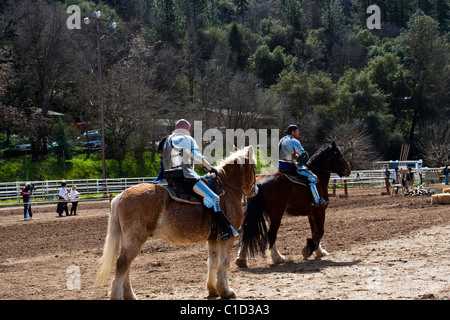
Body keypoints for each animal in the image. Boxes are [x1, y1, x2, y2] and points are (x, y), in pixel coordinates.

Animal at [95, 146, 256, 300]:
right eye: (254, 166)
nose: (254, 189)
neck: (226, 188)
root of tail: (121, 195)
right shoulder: (228, 238)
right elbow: (224, 263)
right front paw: (226, 291)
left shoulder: (214, 239)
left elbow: (212, 262)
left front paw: (213, 289)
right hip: (135, 239)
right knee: (123, 263)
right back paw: (117, 295)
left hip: (129, 240)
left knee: (126, 265)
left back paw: (130, 295)